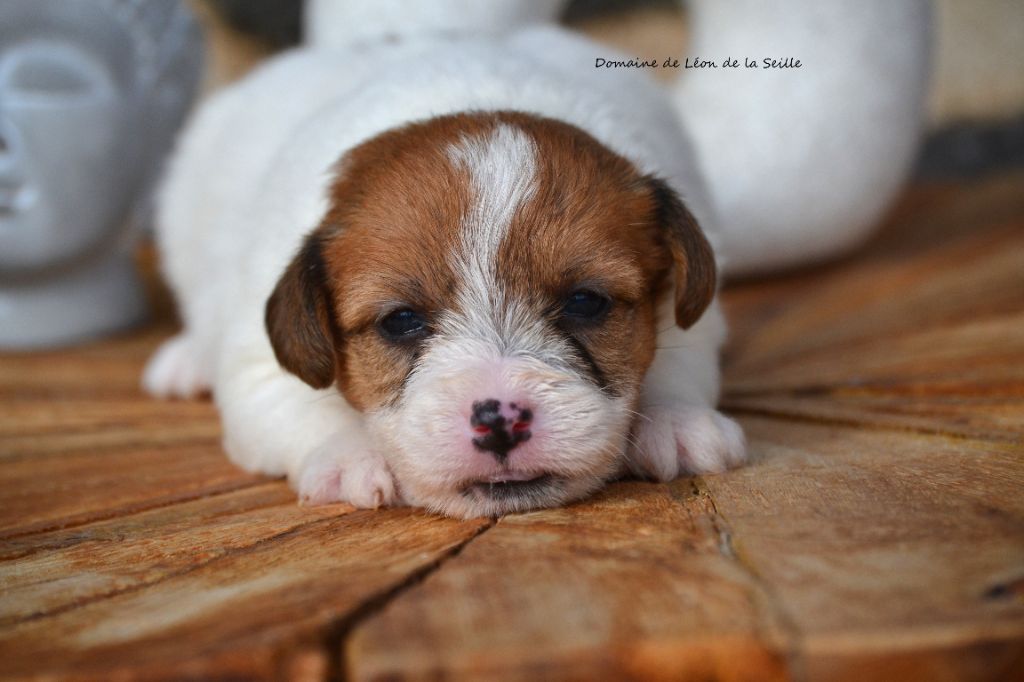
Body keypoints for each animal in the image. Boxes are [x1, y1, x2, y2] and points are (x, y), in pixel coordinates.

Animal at [142, 25, 745, 516]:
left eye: (586, 302)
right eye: (399, 321)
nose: (501, 420)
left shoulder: (695, 320)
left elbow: (676, 360)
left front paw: (675, 420)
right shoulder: (257, 367)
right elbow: (301, 407)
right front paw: (349, 456)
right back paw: (186, 359)